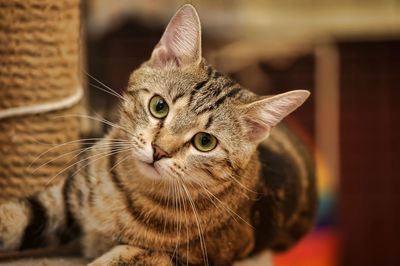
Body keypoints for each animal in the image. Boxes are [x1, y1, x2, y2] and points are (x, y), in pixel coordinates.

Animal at [0, 4, 316, 266]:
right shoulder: (61, 201)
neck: (126, 191)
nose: (159, 150)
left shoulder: (171, 256)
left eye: (205, 141)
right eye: (159, 106)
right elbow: (13, 216)